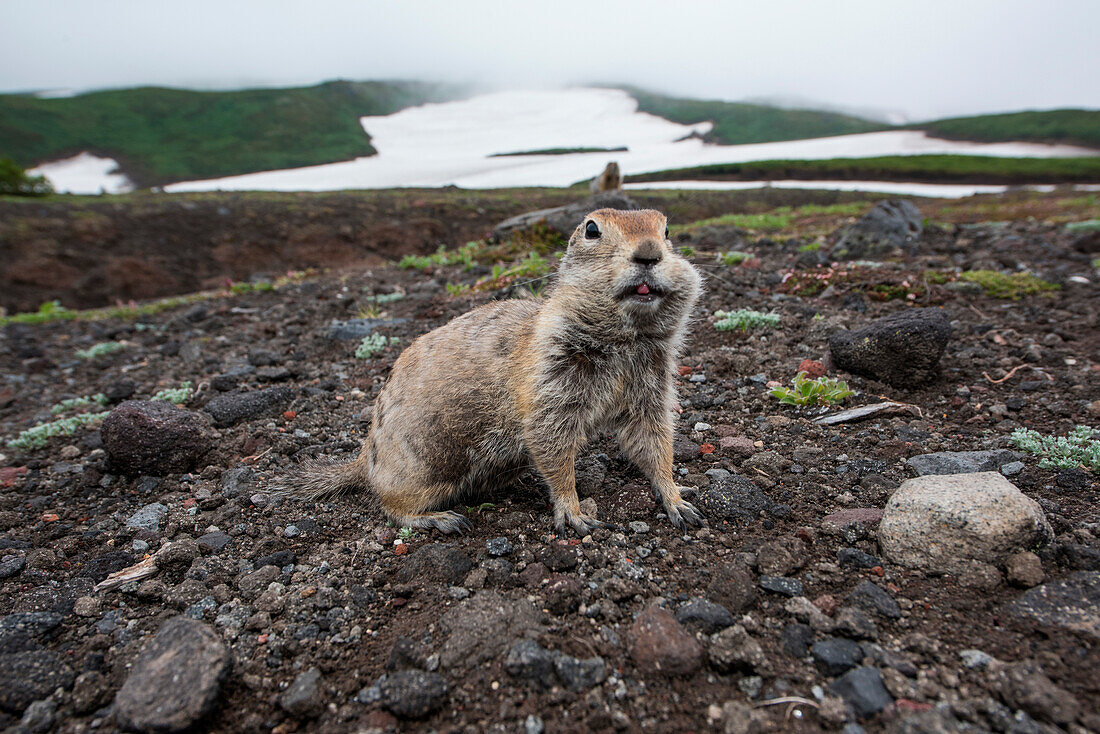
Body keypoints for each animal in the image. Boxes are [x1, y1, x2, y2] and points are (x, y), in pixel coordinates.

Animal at [288, 206, 704, 534]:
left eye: (667, 230)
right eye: (591, 229)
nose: (649, 253)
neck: (625, 339)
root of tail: (364, 459)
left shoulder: (651, 384)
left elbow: (652, 439)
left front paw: (678, 499)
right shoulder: (550, 380)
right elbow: (551, 442)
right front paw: (575, 512)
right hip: (425, 466)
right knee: (389, 505)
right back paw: (440, 518)